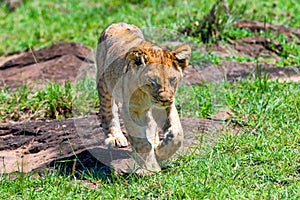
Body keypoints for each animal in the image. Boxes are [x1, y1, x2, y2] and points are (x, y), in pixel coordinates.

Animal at [96, 22, 190, 175]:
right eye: (153, 81)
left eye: (172, 80)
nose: (164, 99)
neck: (147, 96)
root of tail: (118, 23)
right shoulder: (130, 109)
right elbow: (141, 142)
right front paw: (149, 169)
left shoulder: (166, 106)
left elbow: (177, 132)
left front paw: (160, 151)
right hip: (104, 83)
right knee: (108, 110)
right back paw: (115, 137)